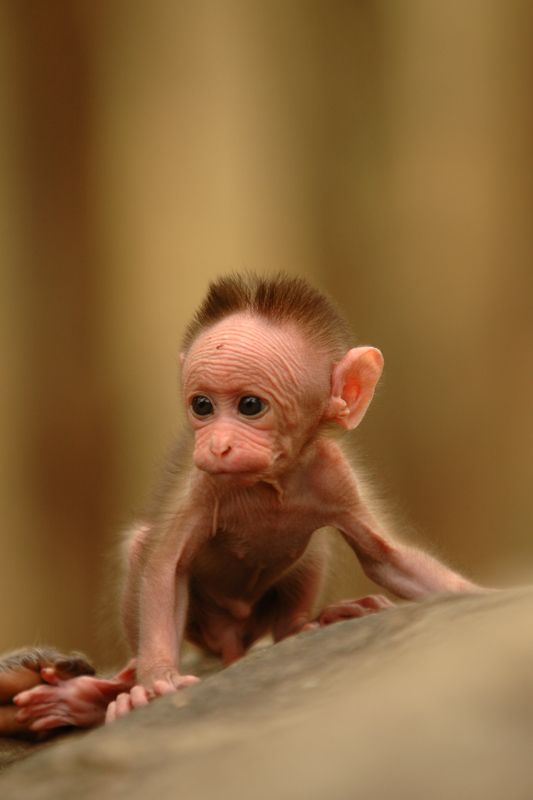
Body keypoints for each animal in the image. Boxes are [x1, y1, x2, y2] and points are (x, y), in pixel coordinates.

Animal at [12, 272, 480, 728]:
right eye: (202, 406)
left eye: (250, 405)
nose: (217, 445)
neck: (271, 480)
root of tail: (232, 639)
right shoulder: (202, 484)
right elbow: (165, 567)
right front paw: (158, 678)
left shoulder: (333, 470)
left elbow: (387, 558)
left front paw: (478, 595)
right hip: (203, 626)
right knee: (141, 547)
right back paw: (98, 697)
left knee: (314, 552)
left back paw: (311, 623)